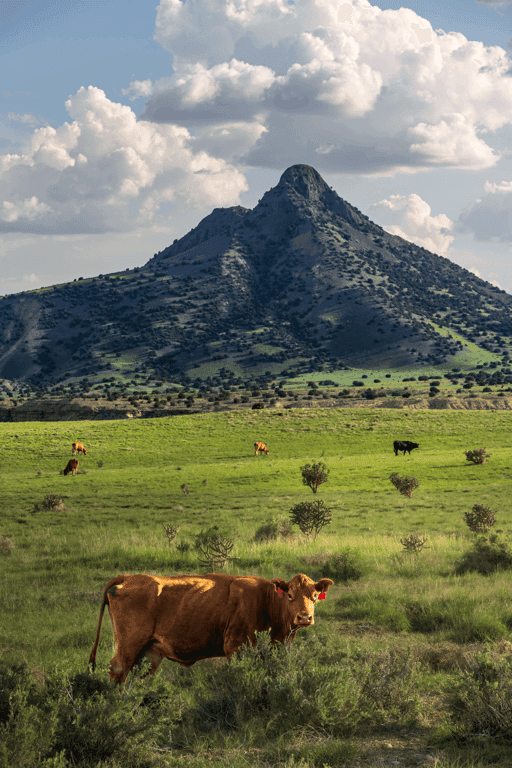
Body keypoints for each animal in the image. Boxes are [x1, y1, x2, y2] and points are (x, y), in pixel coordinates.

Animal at [90, 568, 334, 684]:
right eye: (290, 595)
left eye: (314, 596)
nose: (304, 617)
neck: (267, 600)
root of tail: (127, 578)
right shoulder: (235, 648)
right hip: (129, 645)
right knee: (118, 670)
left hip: (149, 652)